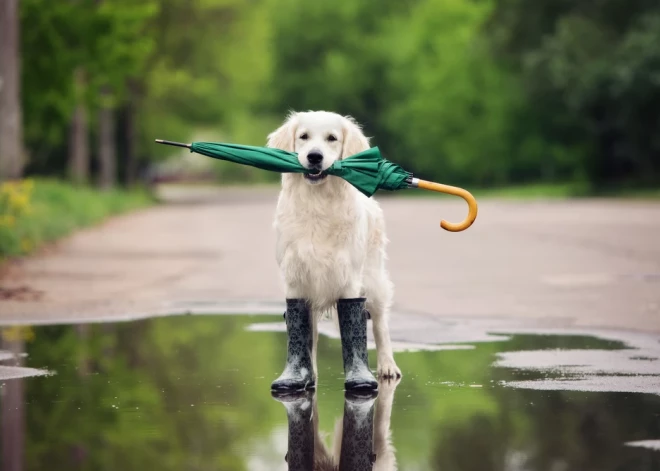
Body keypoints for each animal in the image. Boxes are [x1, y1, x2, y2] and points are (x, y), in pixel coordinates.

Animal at [266, 110, 400, 380]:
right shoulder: (296, 278)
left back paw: (387, 366)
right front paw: (303, 375)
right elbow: (304, 333)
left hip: (373, 279)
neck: (318, 203)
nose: (314, 157)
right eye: (303, 137)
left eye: (332, 138)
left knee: (380, 323)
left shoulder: (349, 278)